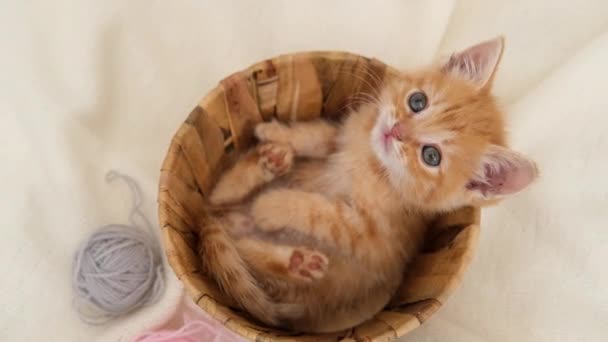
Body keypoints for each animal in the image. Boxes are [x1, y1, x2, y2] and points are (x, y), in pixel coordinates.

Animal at [198, 38, 536, 334]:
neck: (372, 161)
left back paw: (296, 259)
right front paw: (277, 132)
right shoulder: (343, 133)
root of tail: (222, 221)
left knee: (242, 240)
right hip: (228, 210)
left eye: (431, 156)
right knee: (219, 195)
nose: (395, 131)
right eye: (417, 101)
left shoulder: (372, 237)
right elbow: (319, 136)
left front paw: (273, 206)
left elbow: (322, 213)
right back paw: (270, 161)